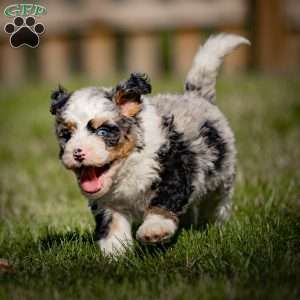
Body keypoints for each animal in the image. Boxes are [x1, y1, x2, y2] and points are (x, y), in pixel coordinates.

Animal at [50, 33, 250, 255]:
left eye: (103, 131)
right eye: (67, 135)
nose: (77, 153)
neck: (128, 166)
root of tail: (197, 96)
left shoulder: (172, 168)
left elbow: (163, 201)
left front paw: (154, 230)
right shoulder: (108, 203)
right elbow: (113, 225)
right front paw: (114, 253)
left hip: (221, 178)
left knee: (216, 205)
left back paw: (214, 227)